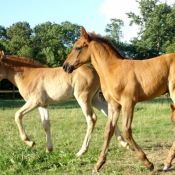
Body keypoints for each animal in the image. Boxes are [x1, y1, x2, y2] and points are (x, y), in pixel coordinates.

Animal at [0, 50, 129, 156]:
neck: (28, 74)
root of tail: (96, 71)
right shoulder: (43, 105)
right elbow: (46, 124)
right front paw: (49, 149)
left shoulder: (35, 101)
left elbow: (17, 115)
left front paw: (30, 142)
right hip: (94, 99)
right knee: (109, 114)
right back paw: (124, 143)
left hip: (83, 98)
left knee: (91, 118)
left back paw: (82, 151)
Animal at [63, 26, 175, 173]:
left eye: (77, 47)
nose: (65, 66)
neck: (113, 69)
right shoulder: (113, 105)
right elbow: (108, 131)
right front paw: (98, 165)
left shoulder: (128, 102)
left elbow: (126, 130)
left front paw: (148, 163)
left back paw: (167, 163)